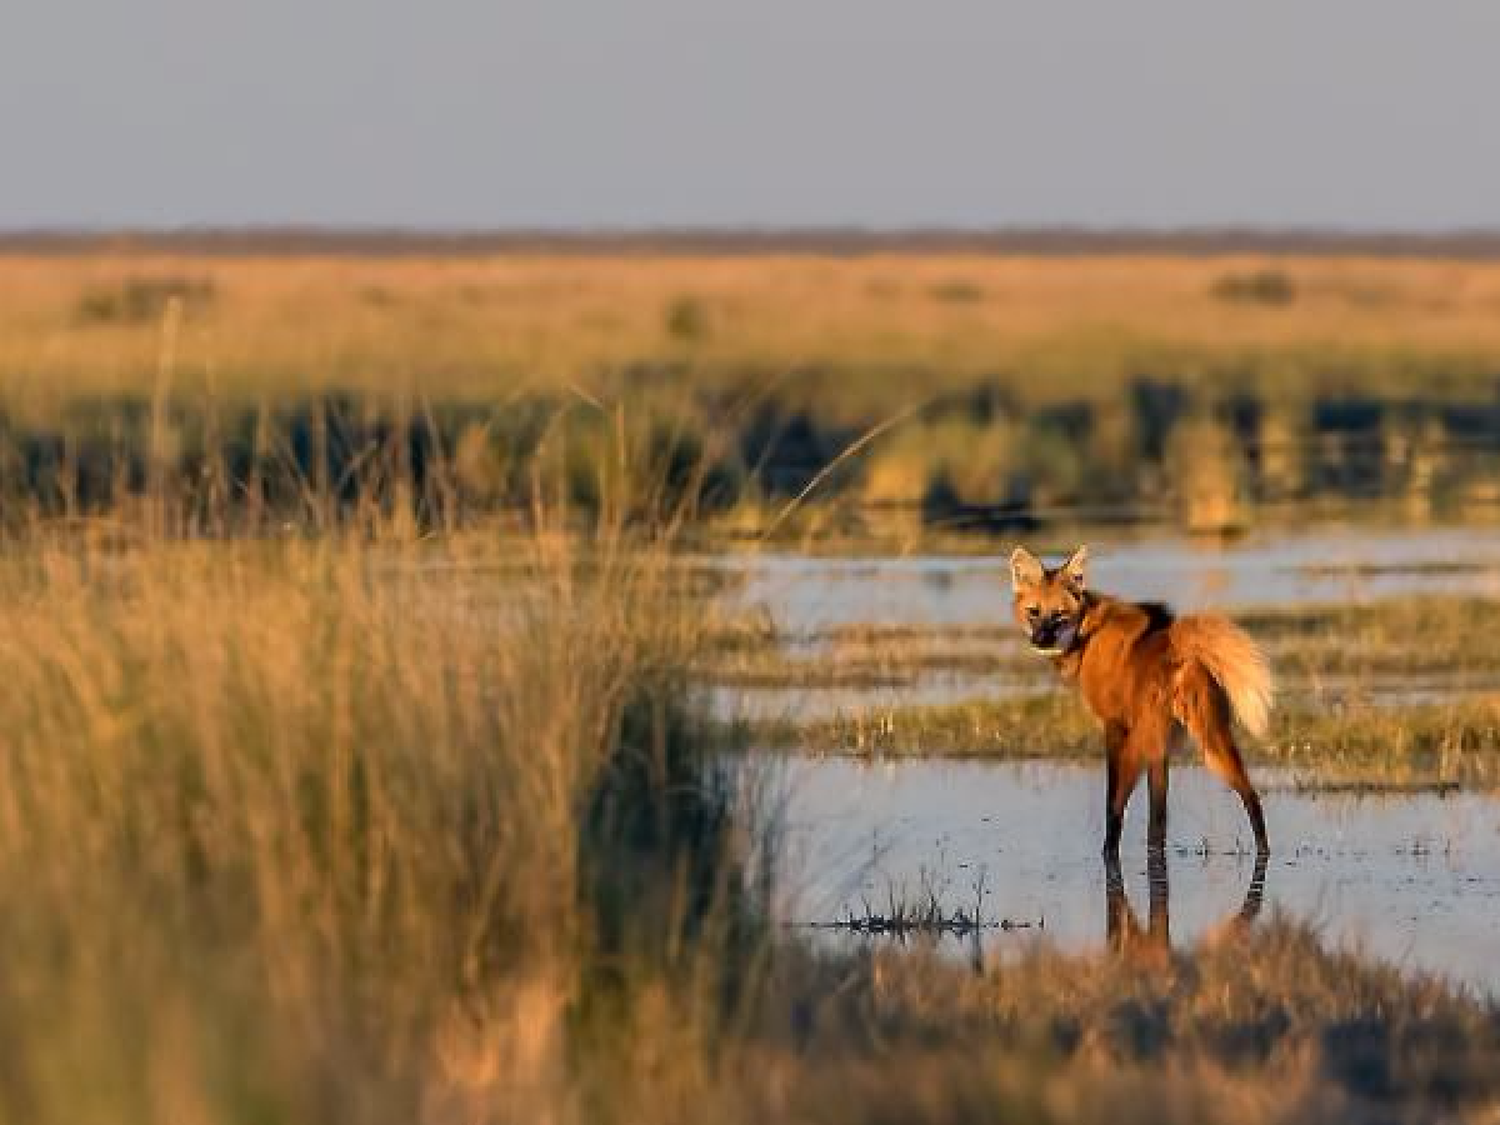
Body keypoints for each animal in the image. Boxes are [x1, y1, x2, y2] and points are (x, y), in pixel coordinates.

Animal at [1014, 546, 1272, 852]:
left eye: (1059, 615)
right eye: (1034, 612)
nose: (1040, 640)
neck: (1086, 634)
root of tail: (1180, 643)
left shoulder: (1114, 725)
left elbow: (1112, 801)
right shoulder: (1158, 746)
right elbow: (1157, 813)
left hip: (1146, 742)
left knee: (1120, 804)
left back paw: (1109, 850)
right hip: (1208, 738)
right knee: (1249, 795)